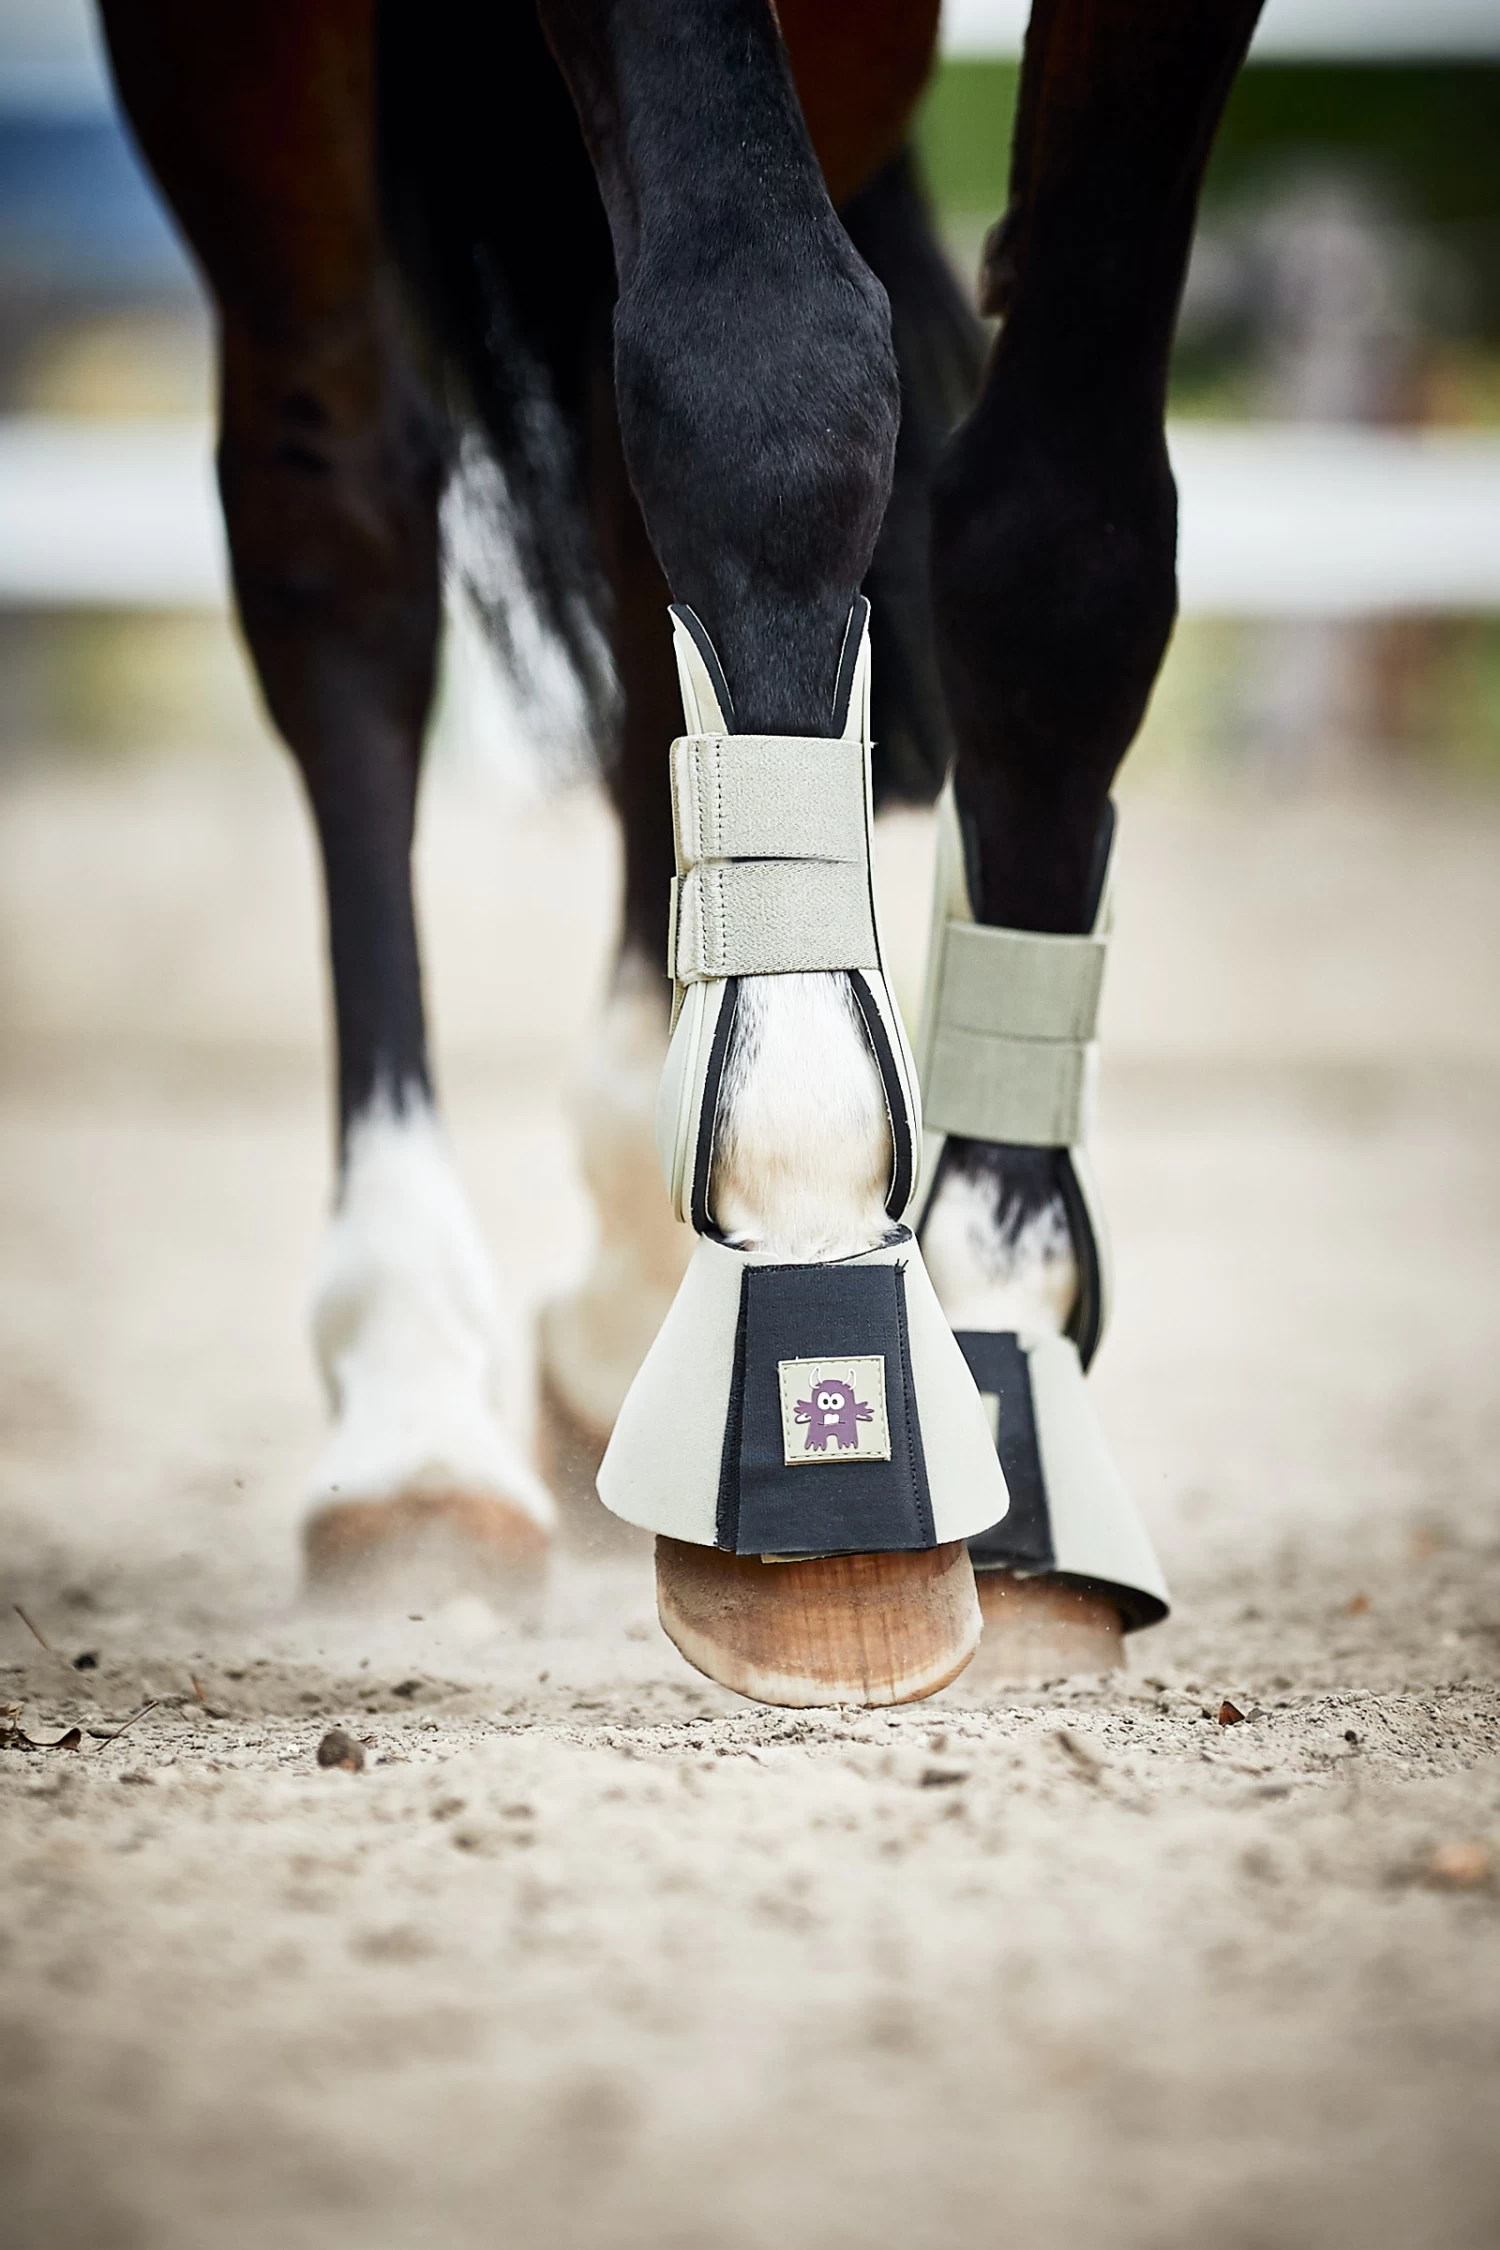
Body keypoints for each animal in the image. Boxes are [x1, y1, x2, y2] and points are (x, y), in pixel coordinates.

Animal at [96, 0, 1264, 1707]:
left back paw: (618, 1307)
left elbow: (1067, 544)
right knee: (342, 530)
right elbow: (768, 373)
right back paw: (413, 1417)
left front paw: (998, 1322)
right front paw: (806, 1225)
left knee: (602, 493)